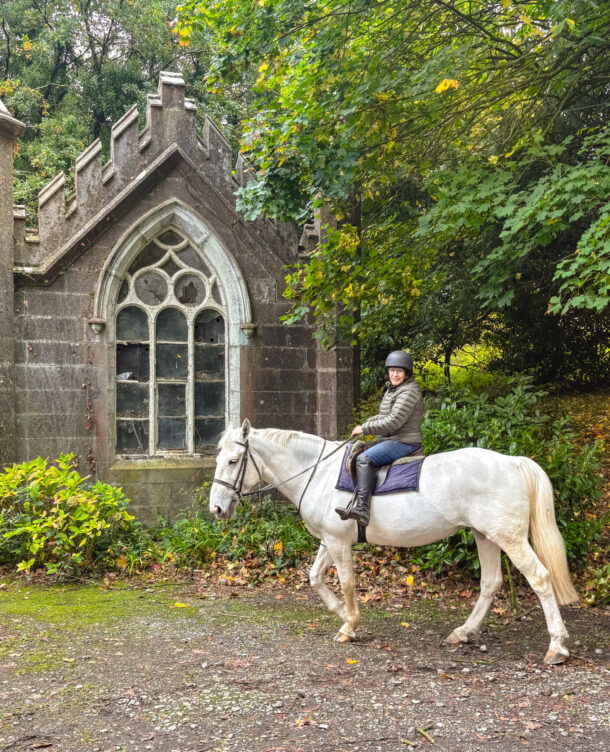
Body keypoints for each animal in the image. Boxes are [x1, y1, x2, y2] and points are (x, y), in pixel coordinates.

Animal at [210, 420, 579, 664]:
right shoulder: (330, 541)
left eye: (233, 461)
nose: (216, 508)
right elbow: (315, 578)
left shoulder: (338, 543)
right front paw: (344, 615)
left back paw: (557, 647)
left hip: (509, 538)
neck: (319, 473)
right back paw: (464, 632)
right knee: (490, 583)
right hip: (484, 536)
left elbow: (347, 582)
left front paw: (349, 625)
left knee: (540, 579)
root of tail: (513, 462)